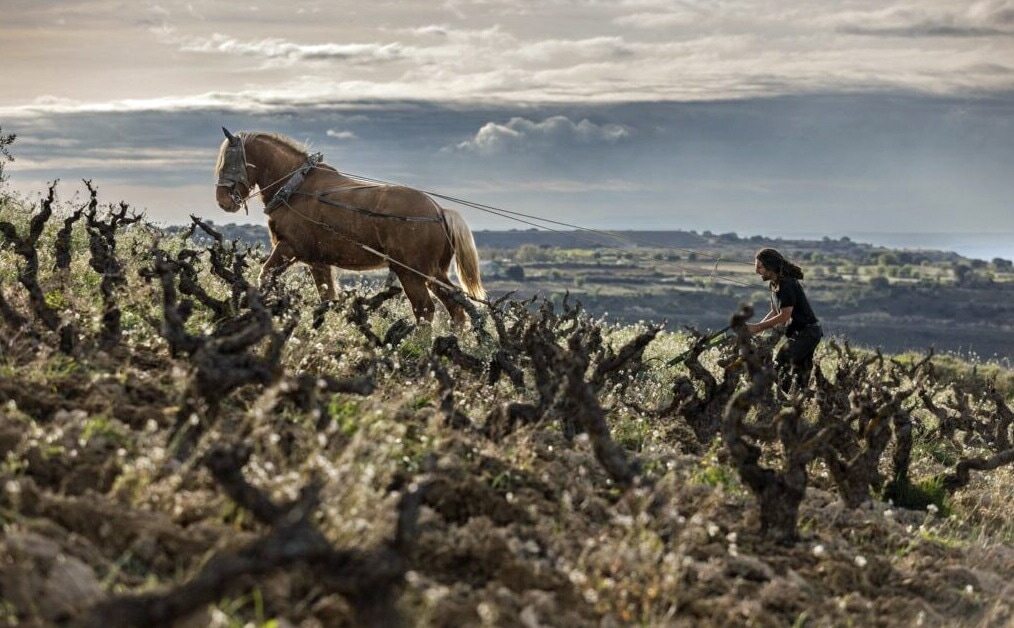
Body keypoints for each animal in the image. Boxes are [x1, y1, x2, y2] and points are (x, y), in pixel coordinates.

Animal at [214, 128, 486, 326]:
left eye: (229, 161)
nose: (222, 200)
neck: (296, 186)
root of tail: (439, 211)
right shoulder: (318, 262)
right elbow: (327, 298)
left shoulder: (288, 248)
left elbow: (265, 275)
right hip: (433, 272)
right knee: (455, 306)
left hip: (411, 272)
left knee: (424, 310)